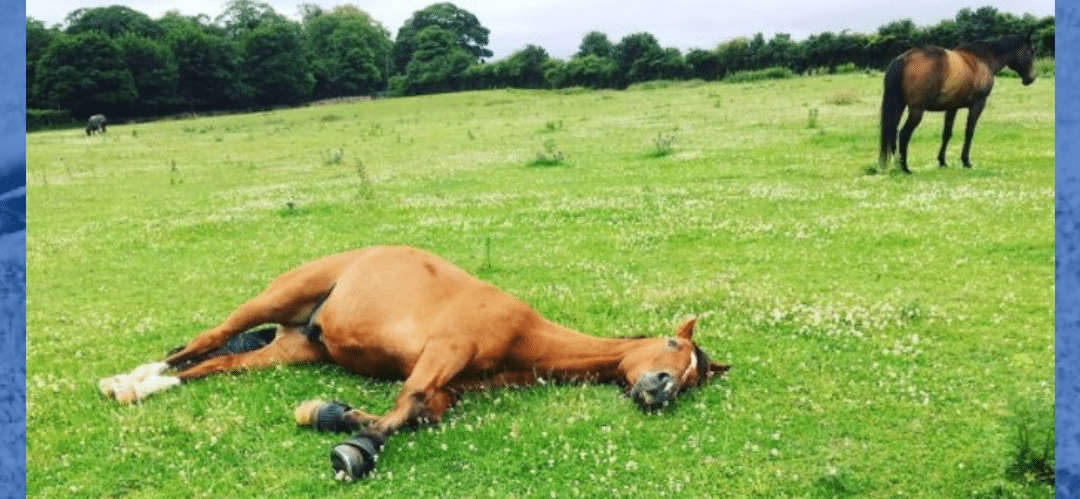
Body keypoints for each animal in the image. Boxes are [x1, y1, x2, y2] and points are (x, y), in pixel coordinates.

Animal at [97, 245, 730, 479]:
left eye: (693, 381)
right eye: (672, 347)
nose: (660, 390)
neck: (523, 336)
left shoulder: (454, 386)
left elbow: (424, 412)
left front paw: (333, 414)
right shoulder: (444, 352)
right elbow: (408, 405)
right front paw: (352, 446)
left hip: (288, 349)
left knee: (207, 367)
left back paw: (139, 387)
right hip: (275, 299)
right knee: (204, 341)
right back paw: (128, 379)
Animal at [876, 34, 1036, 172]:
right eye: (1031, 53)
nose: (1031, 78)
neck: (982, 59)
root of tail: (905, 58)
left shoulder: (951, 107)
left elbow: (947, 133)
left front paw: (942, 161)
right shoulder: (978, 104)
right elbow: (969, 132)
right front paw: (966, 161)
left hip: (899, 106)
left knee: (892, 131)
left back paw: (895, 164)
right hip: (916, 111)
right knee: (903, 134)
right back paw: (904, 167)